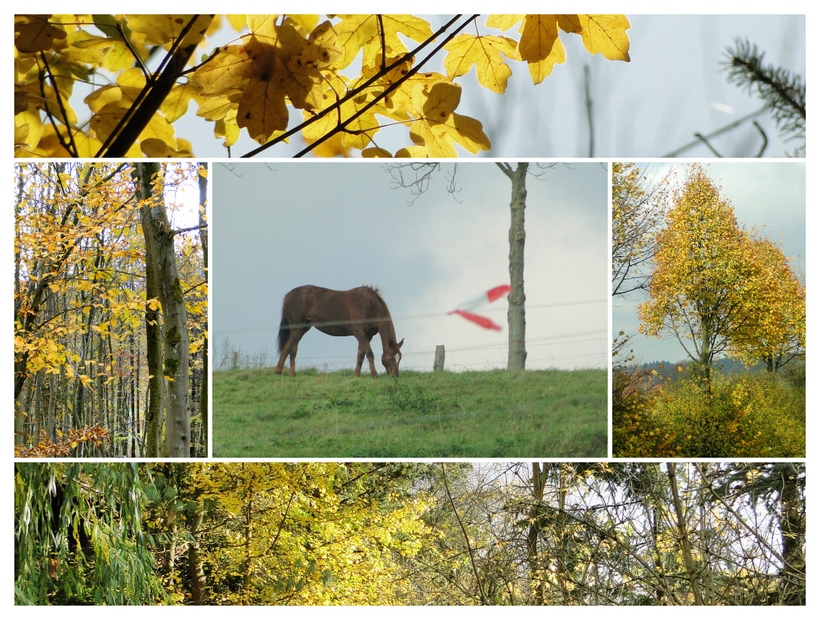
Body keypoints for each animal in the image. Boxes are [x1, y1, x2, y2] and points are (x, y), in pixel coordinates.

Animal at [276, 286, 404, 378]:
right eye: (392, 358)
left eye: (400, 358)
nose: (396, 376)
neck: (369, 305)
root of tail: (288, 295)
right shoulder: (360, 333)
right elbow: (369, 353)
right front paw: (374, 374)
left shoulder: (367, 336)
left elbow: (360, 355)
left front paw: (356, 375)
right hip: (297, 327)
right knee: (293, 349)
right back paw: (292, 373)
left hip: (303, 328)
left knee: (287, 347)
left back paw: (278, 371)